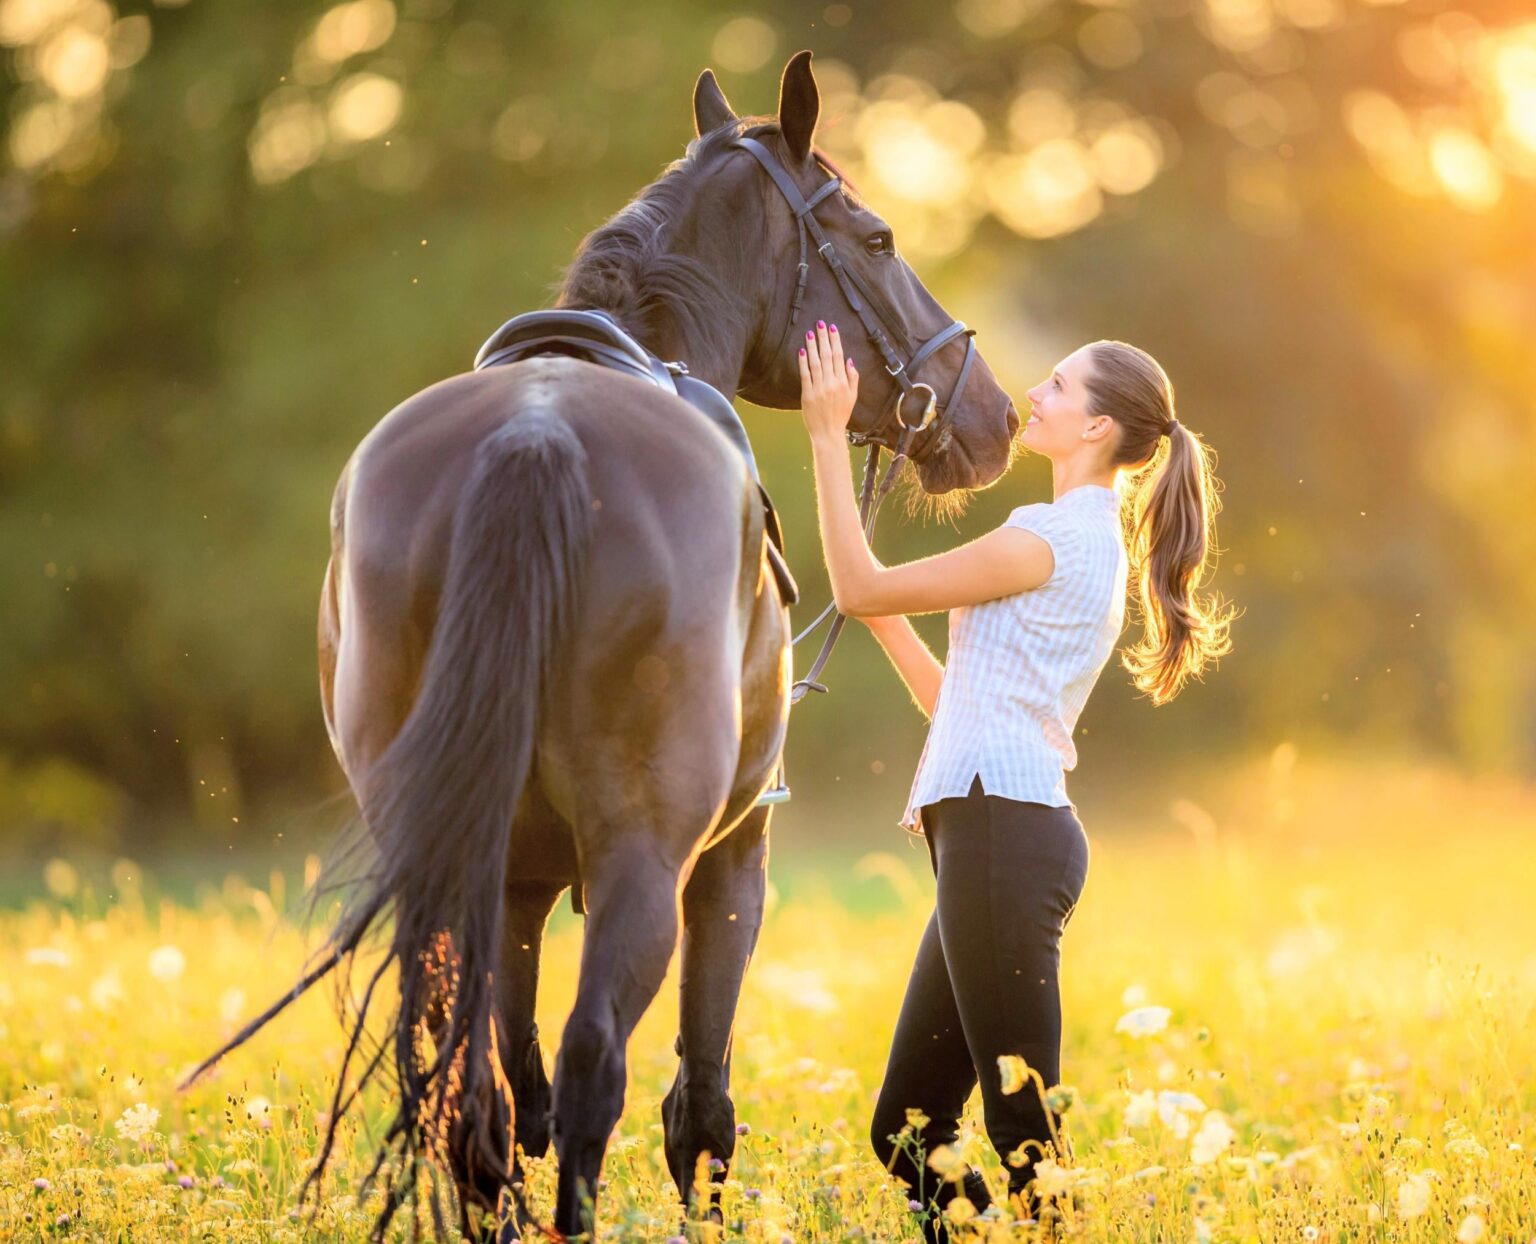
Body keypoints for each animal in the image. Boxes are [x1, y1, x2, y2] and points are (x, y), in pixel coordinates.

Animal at [188, 50, 1018, 1241]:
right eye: (876, 239)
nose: (990, 415)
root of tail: (535, 435)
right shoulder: (733, 856)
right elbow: (697, 1106)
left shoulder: (519, 885)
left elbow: (511, 1082)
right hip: (643, 861)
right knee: (593, 1071)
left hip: (448, 858)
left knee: (477, 1098)